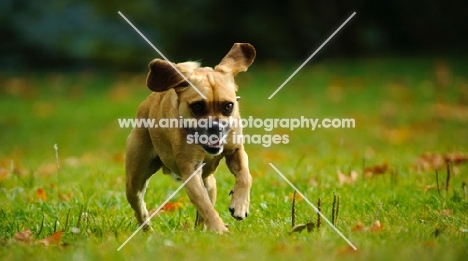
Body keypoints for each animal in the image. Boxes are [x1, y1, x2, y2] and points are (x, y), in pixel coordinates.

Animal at [126, 43, 254, 234]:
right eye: (198, 107)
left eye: (228, 106)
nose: (216, 127)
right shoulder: (190, 171)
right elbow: (204, 204)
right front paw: (219, 228)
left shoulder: (235, 151)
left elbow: (245, 175)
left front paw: (240, 204)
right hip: (134, 180)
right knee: (139, 206)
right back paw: (147, 229)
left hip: (210, 184)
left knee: (203, 211)